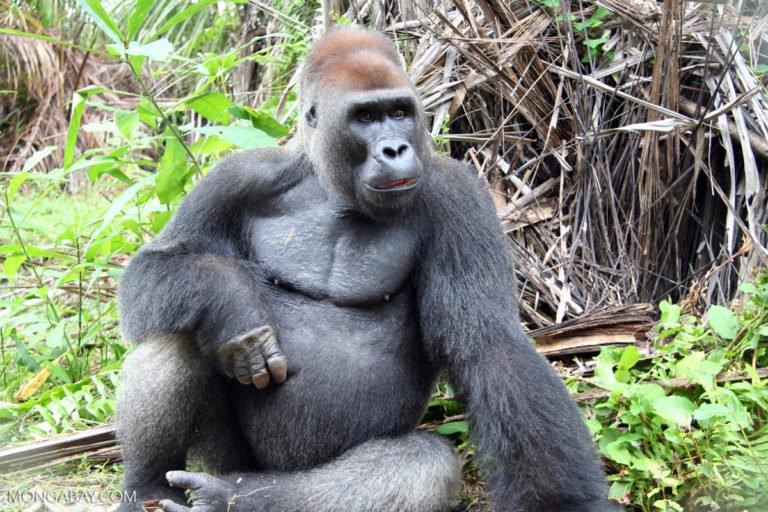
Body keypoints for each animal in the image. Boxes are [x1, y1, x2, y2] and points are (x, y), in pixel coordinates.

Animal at [115, 27, 616, 512]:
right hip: (229, 456)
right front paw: (234, 302)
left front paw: (569, 503)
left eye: (399, 111)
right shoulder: (237, 177)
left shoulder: (459, 195)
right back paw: (146, 487)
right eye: (366, 118)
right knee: (177, 334)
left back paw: (236, 498)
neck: (330, 185)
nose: (394, 149)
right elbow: (153, 267)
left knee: (422, 464)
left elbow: (489, 346)